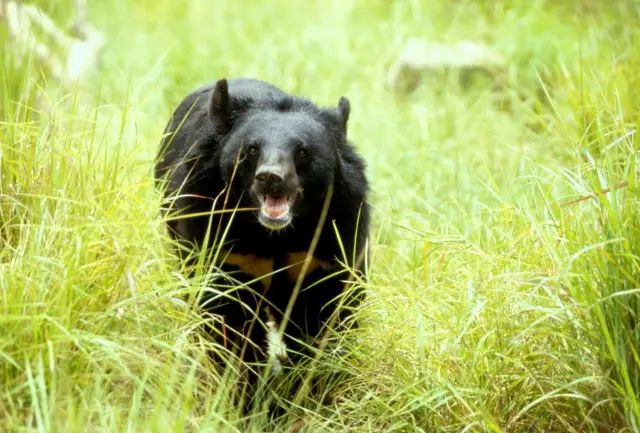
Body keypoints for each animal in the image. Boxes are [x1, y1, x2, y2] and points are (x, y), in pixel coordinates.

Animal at [155, 77, 370, 382]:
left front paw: (312, 382)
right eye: (252, 149)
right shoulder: (218, 239)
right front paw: (242, 384)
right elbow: (227, 314)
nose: (270, 178)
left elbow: (322, 314)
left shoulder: (329, 243)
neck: (274, 234)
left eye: (302, 151)